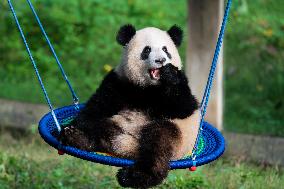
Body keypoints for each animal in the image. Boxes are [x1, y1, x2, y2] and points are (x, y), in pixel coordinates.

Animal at [60, 24, 200, 188]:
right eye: (147, 50)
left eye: (166, 50)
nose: (161, 60)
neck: (149, 88)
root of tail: (129, 146)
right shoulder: (119, 81)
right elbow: (95, 107)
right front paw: (67, 129)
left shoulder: (181, 85)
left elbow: (184, 107)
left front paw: (169, 74)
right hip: (118, 122)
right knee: (102, 127)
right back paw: (78, 137)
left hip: (178, 137)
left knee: (159, 142)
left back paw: (133, 176)